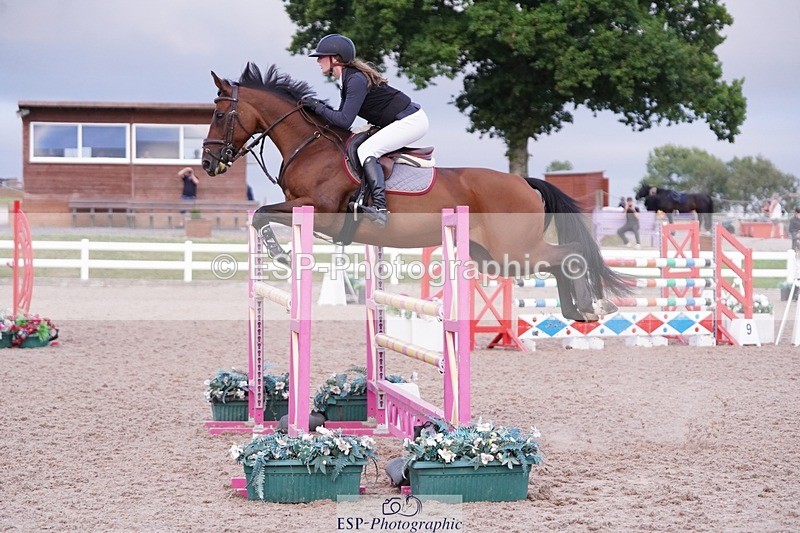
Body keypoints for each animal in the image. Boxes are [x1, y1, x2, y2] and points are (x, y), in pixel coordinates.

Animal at [201, 63, 629, 321]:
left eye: (220, 115)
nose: (208, 164)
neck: (309, 146)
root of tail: (524, 182)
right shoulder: (305, 210)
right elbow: (260, 215)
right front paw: (280, 252)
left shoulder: (318, 211)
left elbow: (261, 215)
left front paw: (280, 254)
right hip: (495, 259)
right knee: (560, 261)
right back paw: (577, 310)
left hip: (514, 251)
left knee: (569, 255)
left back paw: (589, 307)